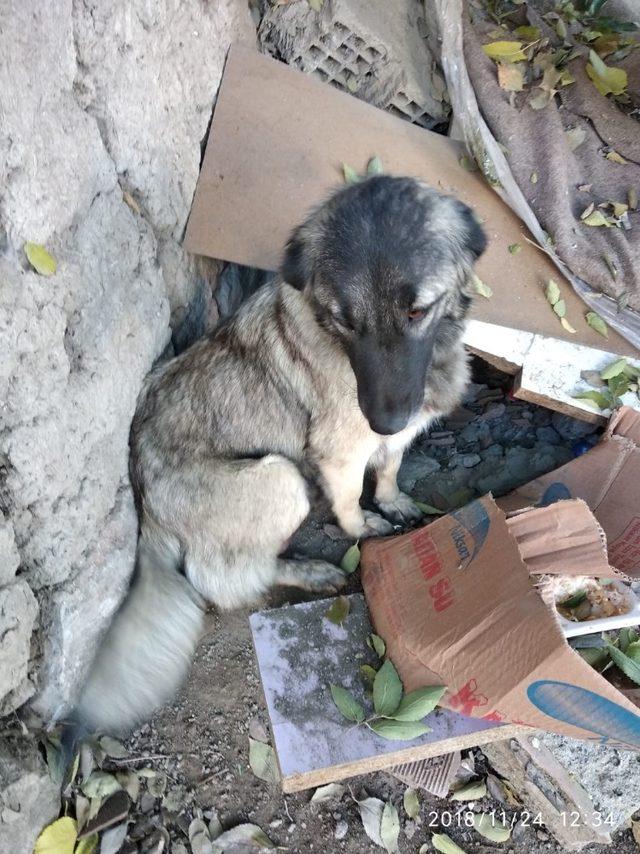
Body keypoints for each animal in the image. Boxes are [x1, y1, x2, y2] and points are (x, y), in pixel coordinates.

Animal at [76, 177, 484, 732]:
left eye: (416, 311)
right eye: (344, 322)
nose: (384, 420)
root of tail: (147, 507)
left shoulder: (398, 433)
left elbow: (391, 466)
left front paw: (394, 498)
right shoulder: (340, 451)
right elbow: (351, 499)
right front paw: (365, 526)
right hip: (281, 480)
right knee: (224, 579)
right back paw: (308, 572)